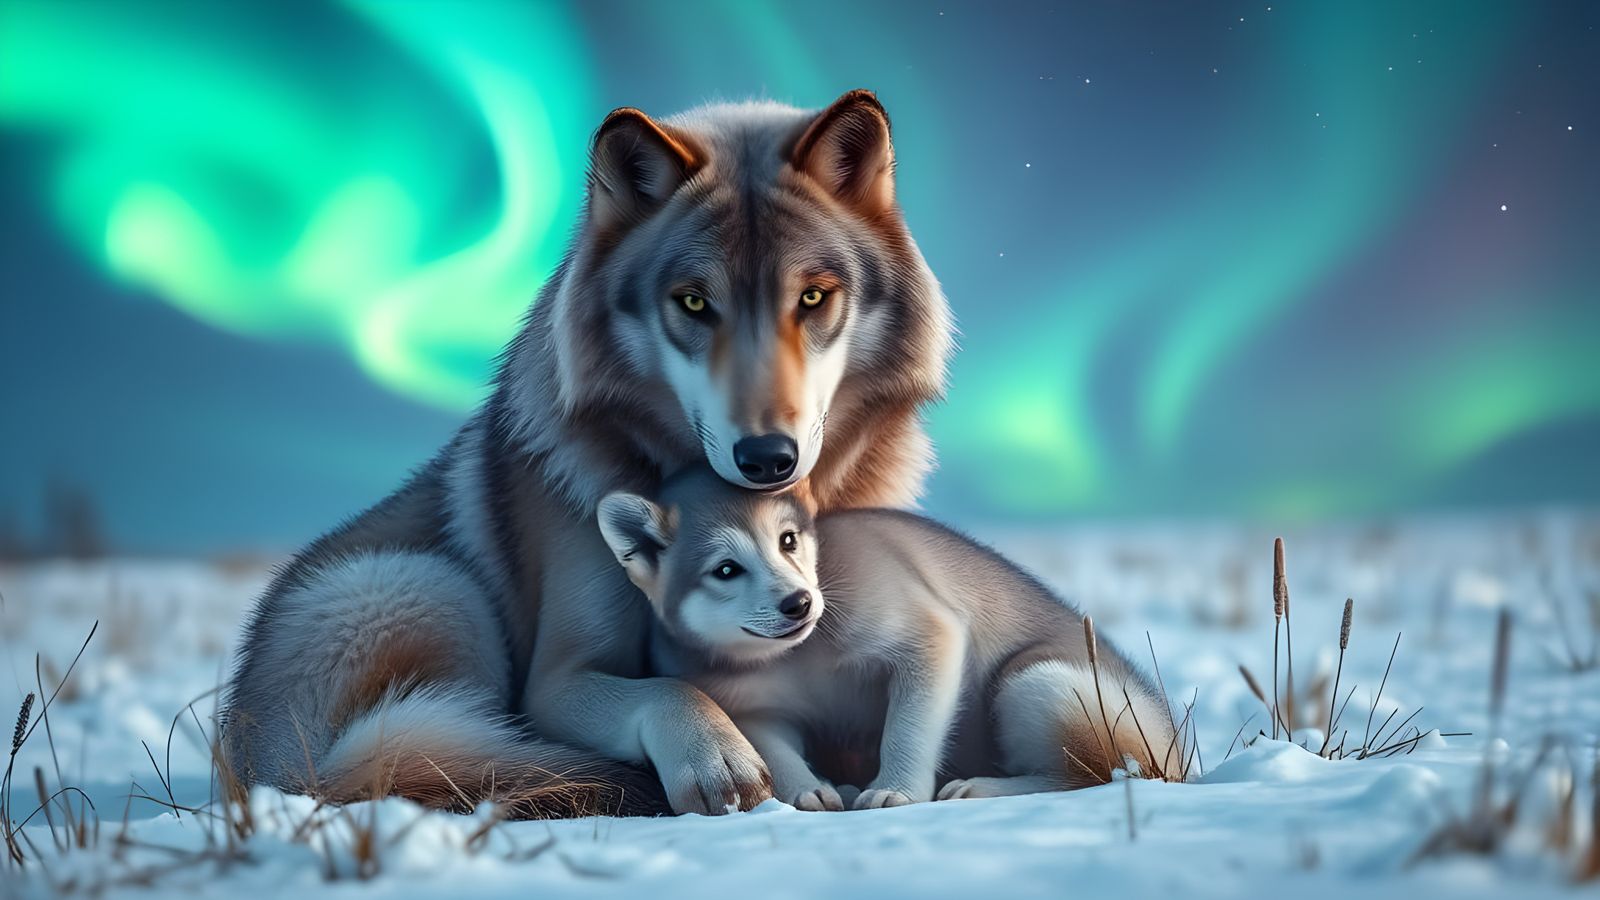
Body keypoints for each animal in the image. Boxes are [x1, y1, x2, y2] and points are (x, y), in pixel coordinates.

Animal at [222, 90, 953, 817]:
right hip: (423, 588)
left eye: (812, 297)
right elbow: (671, 688)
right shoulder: (556, 680)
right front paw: (720, 760)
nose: (767, 458)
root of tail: (257, 760)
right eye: (693, 302)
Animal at [596, 468, 1181, 810]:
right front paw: (809, 791)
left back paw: (980, 788)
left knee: (1104, 774)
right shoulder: (750, 707)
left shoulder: (919, 626)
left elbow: (908, 727)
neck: (793, 660)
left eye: (788, 541)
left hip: (1039, 681)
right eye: (725, 569)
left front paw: (894, 790)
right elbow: (775, 749)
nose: (798, 602)